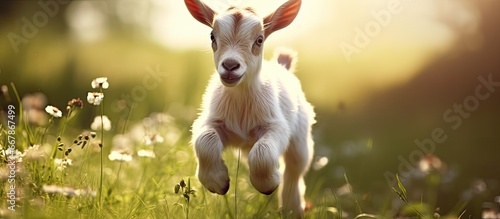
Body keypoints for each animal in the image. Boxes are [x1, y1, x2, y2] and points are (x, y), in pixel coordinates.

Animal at [186, 0, 314, 216]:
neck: (240, 100)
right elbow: (205, 141)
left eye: (259, 40)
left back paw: (292, 209)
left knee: (294, 170)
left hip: (300, 137)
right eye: (212, 36)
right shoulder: (209, 121)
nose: (230, 65)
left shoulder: (277, 126)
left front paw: (267, 184)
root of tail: (282, 65)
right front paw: (217, 182)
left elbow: (263, 154)